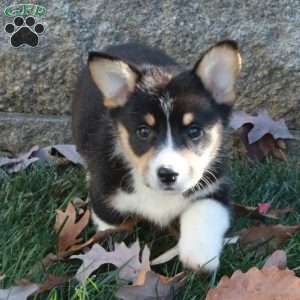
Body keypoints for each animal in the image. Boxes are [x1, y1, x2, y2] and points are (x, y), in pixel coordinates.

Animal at [72, 40, 241, 272]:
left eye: (194, 131)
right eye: (143, 132)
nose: (168, 174)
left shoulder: (214, 187)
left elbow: (204, 212)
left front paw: (200, 257)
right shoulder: (105, 199)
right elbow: (110, 232)